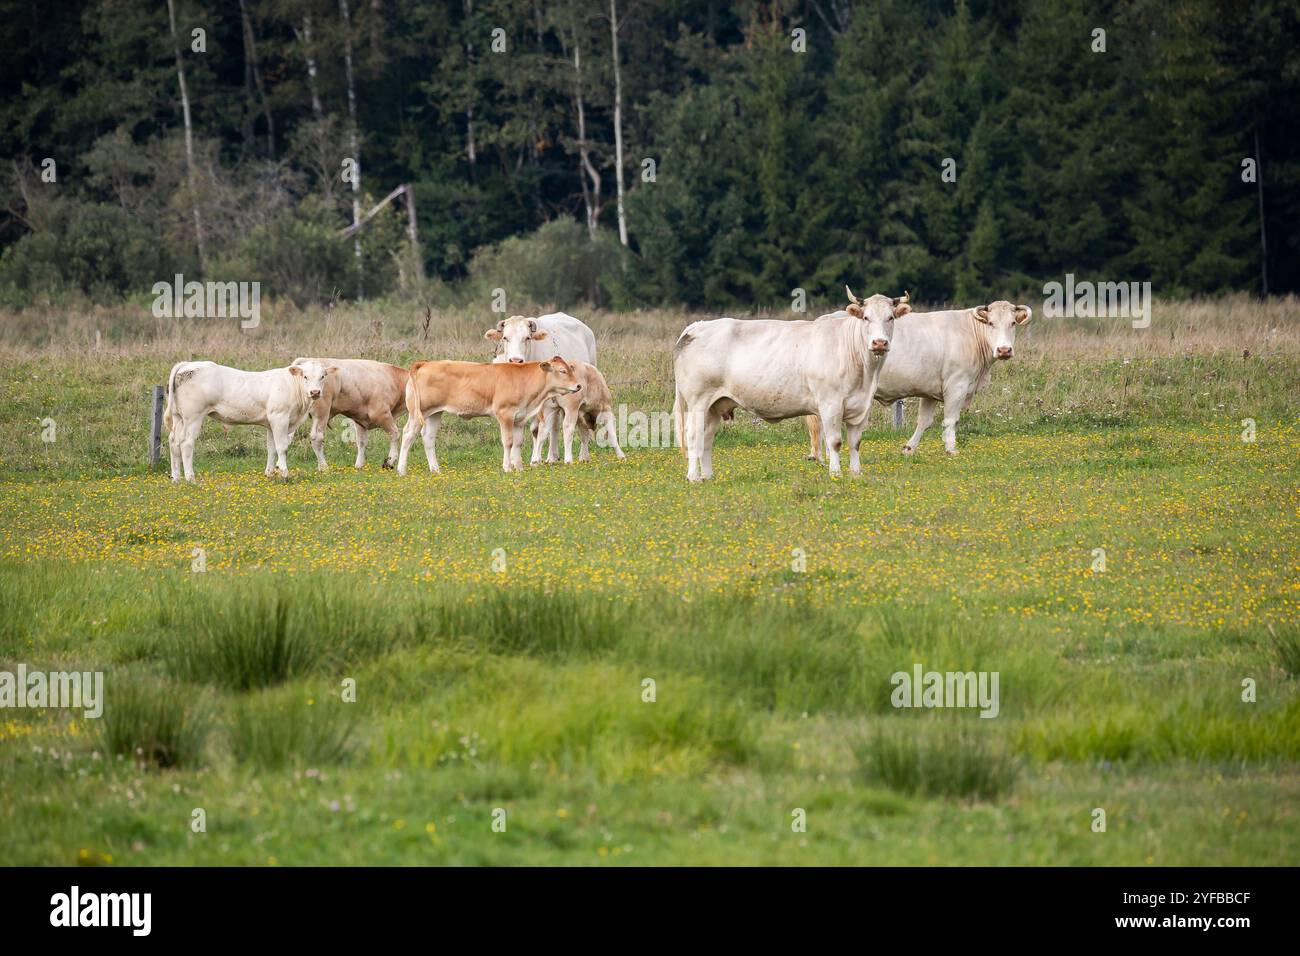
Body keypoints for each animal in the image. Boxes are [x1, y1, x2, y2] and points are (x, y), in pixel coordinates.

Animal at [163, 358, 335, 481]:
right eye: (305, 376)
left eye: (323, 376)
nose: (315, 392)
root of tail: (188, 364)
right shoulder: (279, 418)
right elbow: (282, 447)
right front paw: (284, 473)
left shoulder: (270, 423)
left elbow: (271, 448)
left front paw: (269, 473)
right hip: (193, 416)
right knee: (186, 443)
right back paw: (190, 478)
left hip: (179, 417)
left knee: (173, 441)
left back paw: (176, 478)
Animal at [392, 356, 582, 476]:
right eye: (562, 371)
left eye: (570, 369)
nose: (579, 385)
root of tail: (426, 363)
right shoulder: (505, 414)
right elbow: (508, 442)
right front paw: (507, 467)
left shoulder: (520, 418)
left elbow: (518, 443)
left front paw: (519, 467)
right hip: (418, 413)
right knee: (408, 434)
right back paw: (401, 469)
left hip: (435, 413)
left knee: (428, 438)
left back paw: (435, 469)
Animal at [488, 312, 598, 465]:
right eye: (505, 337)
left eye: (527, 338)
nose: (516, 360)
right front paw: (513, 460)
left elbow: (536, 430)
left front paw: (535, 459)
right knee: (555, 426)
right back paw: (553, 456)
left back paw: (582, 455)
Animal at [670, 283, 915, 478]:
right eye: (866, 318)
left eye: (890, 318)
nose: (879, 343)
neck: (863, 372)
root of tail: (697, 326)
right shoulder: (830, 404)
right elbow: (835, 441)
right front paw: (836, 473)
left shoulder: (861, 406)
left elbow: (855, 442)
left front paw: (856, 473)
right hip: (698, 402)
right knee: (693, 436)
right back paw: (693, 477)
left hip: (715, 405)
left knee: (706, 438)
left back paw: (707, 476)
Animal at [806, 300, 1029, 463]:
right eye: (991, 323)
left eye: (1013, 323)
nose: (1004, 350)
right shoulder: (957, 385)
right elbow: (951, 420)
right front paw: (951, 449)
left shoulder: (930, 391)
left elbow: (925, 421)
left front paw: (909, 448)